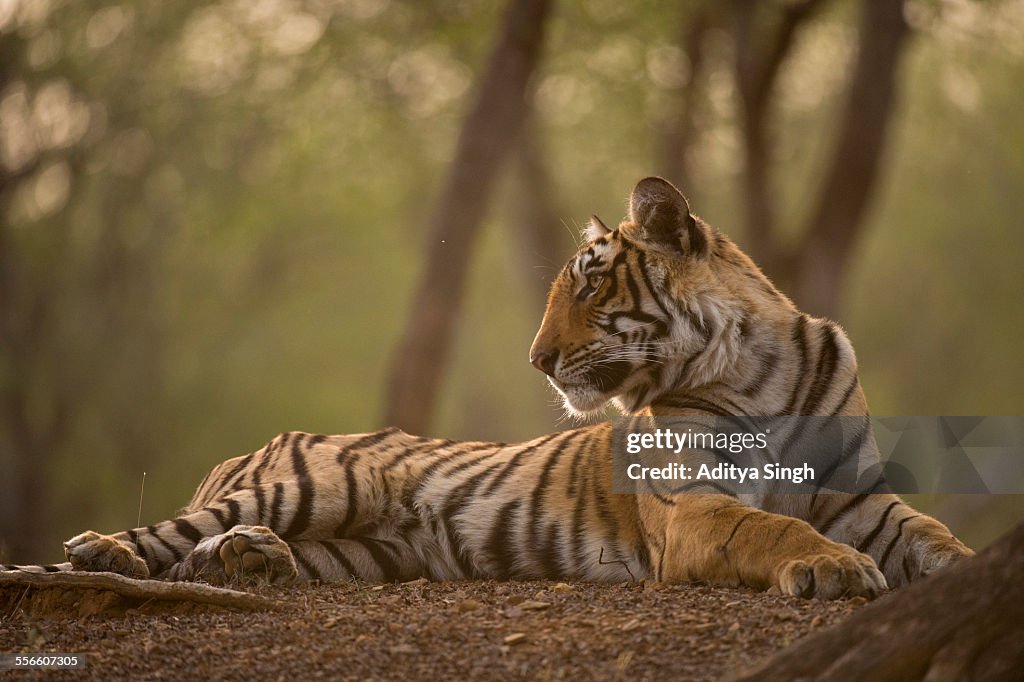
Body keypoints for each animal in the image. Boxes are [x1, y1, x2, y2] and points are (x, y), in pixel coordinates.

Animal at [6, 175, 966, 593]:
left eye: (588, 286)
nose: (536, 360)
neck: (758, 370)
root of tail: (250, 448)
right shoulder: (694, 502)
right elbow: (768, 529)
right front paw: (833, 570)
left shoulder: (859, 496)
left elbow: (928, 530)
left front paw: (962, 568)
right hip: (316, 484)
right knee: (164, 534)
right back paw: (102, 553)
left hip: (364, 550)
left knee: (211, 552)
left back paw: (249, 560)